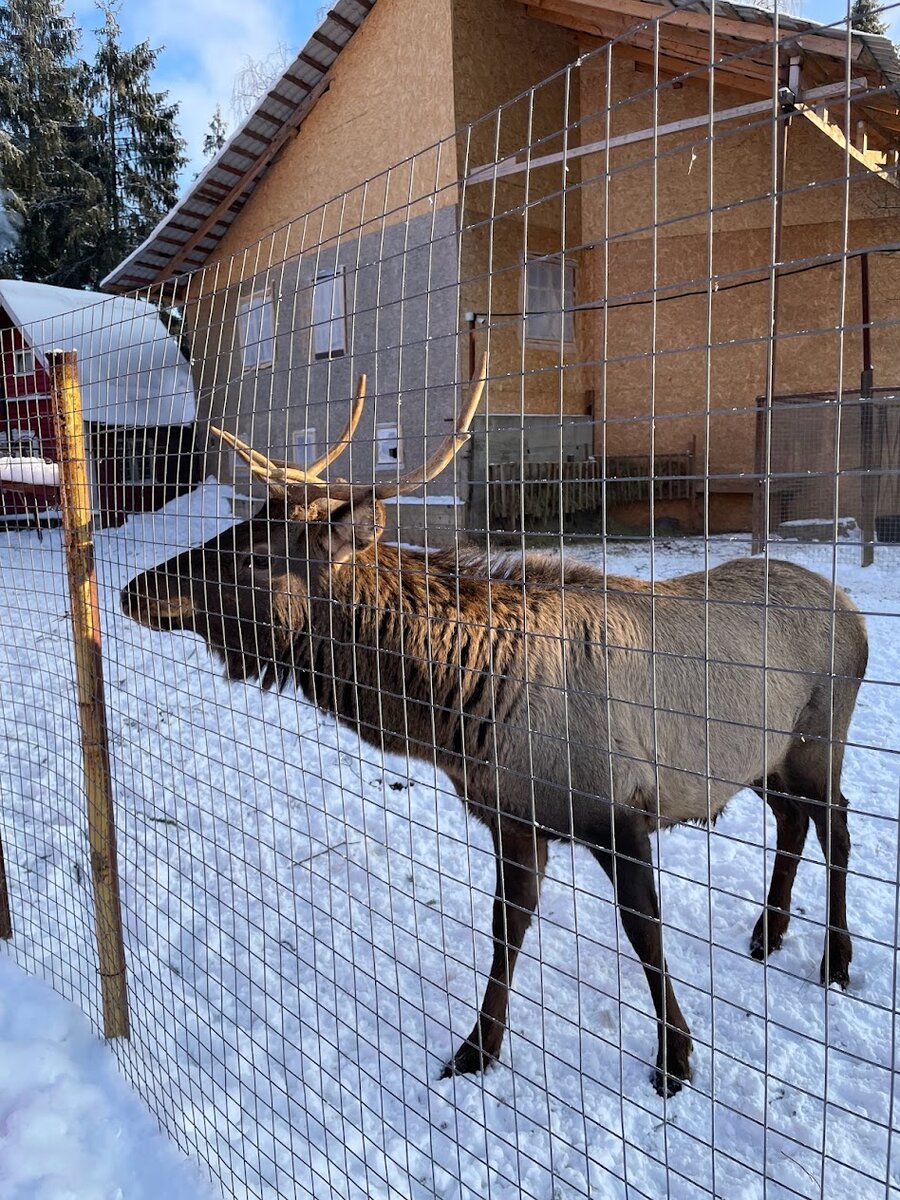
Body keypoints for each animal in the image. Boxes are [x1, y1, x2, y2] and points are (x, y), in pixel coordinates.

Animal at [123, 357, 868, 1099]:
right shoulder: (512, 821)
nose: (137, 589)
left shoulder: (617, 810)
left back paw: (835, 958)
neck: (465, 718)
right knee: (793, 821)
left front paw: (674, 1058)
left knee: (836, 821)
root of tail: (853, 612)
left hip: (818, 740)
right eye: (235, 528)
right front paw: (476, 1048)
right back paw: (768, 933)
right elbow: (504, 929)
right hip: (764, 760)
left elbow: (645, 931)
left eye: (256, 555)